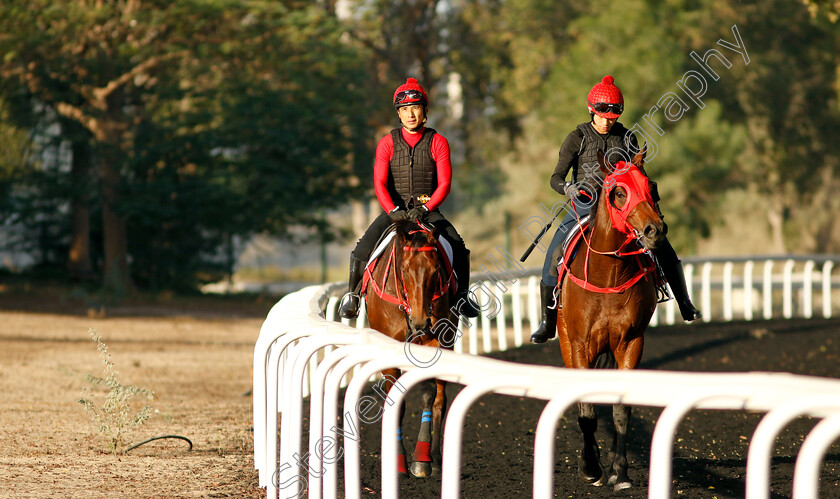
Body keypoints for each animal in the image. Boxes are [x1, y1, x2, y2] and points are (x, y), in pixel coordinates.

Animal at [360, 221, 452, 478]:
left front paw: (422, 460)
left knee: (441, 399)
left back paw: (437, 458)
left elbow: (428, 394)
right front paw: (398, 462)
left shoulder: (433, 344)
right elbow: (396, 402)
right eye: (405, 270)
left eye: (435, 270)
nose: (420, 321)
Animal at [556, 148, 664, 492]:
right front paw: (590, 467)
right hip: (567, 343)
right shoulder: (580, 344)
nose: (655, 231)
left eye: (651, 187)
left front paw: (621, 472)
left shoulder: (630, 342)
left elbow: (620, 410)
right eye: (619, 192)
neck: (609, 275)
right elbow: (587, 411)